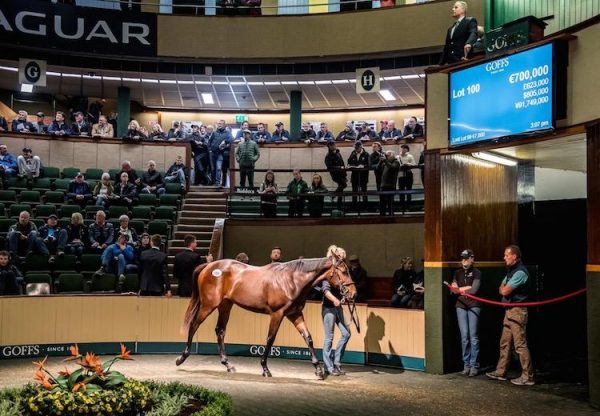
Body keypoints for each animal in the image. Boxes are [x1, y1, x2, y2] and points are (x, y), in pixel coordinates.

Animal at [176, 249, 354, 378]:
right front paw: (265, 369)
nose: (352, 293)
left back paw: (228, 365)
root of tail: (208, 266)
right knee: (194, 325)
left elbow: (308, 337)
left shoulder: (295, 314)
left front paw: (318, 369)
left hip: (225, 306)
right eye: (344, 271)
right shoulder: (277, 314)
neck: (292, 280)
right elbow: (270, 339)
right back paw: (181, 358)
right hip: (208, 305)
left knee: (220, 331)